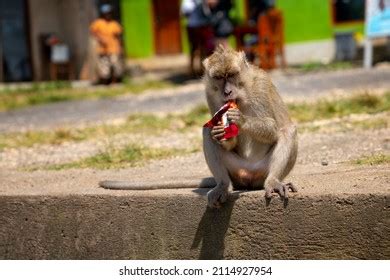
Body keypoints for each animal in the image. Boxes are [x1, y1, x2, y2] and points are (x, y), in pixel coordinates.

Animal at [203, 45, 298, 208]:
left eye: (232, 74)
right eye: (219, 77)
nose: (227, 92)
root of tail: (250, 173)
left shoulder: (261, 85)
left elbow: (272, 128)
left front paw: (240, 120)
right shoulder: (209, 93)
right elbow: (217, 131)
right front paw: (219, 132)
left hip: (262, 170)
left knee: (288, 131)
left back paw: (273, 181)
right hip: (236, 170)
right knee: (206, 131)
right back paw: (222, 186)